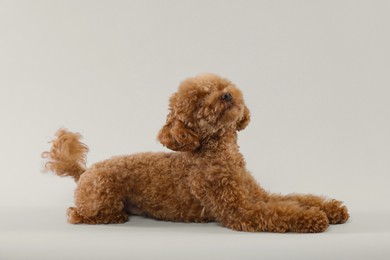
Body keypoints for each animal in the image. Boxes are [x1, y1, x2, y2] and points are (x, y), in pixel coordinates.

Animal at [41, 73, 348, 234]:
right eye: (200, 101)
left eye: (220, 86)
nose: (226, 95)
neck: (221, 154)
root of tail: (84, 172)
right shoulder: (239, 209)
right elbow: (279, 212)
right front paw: (314, 218)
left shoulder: (257, 194)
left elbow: (295, 198)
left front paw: (332, 209)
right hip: (100, 196)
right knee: (76, 214)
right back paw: (112, 217)